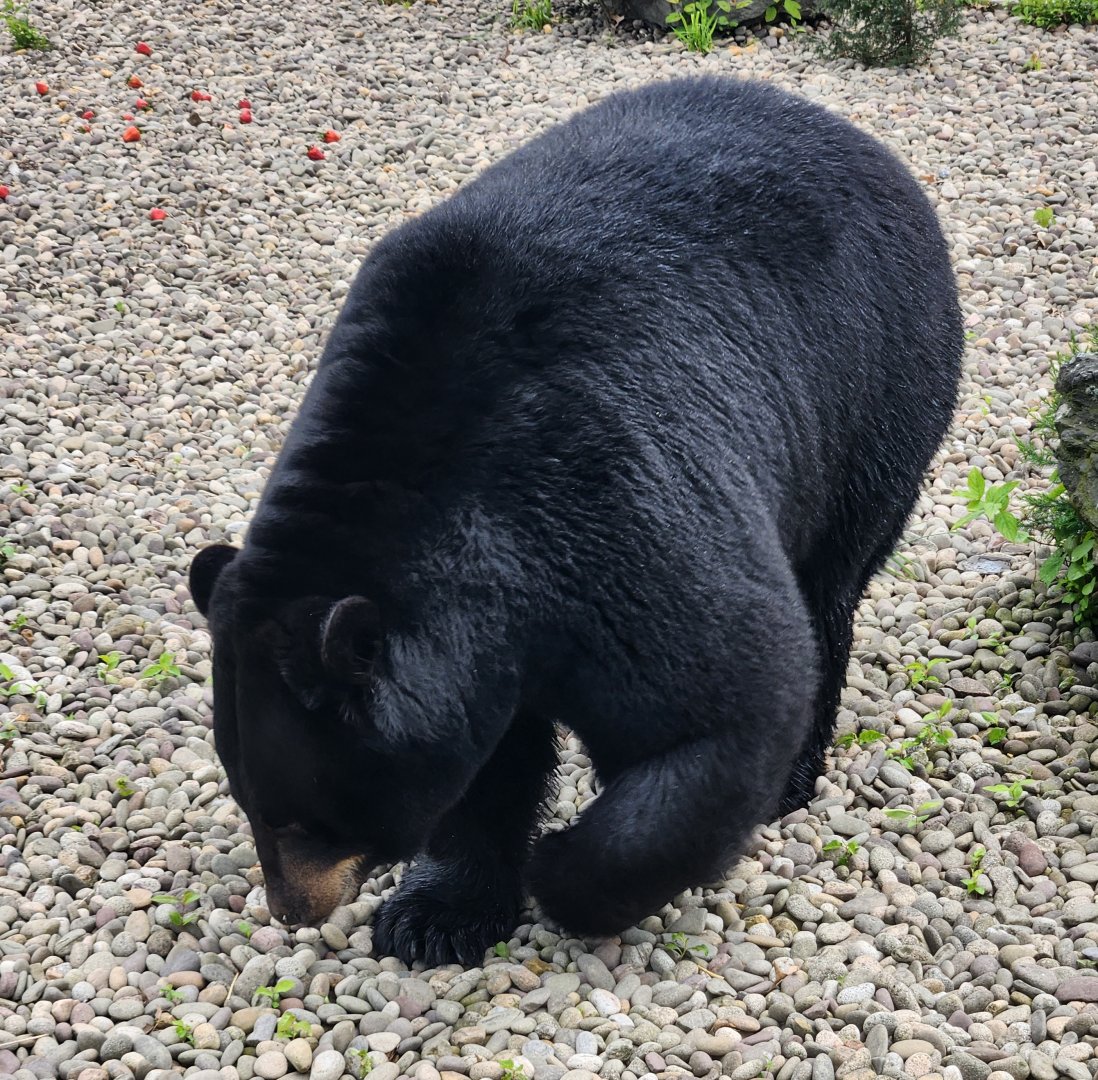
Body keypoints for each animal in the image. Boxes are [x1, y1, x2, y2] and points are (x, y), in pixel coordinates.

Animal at [189, 75, 962, 967]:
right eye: (246, 798)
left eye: (305, 816)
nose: (290, 909)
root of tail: (856, 137)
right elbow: (482, 763)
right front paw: (434, 915)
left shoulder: (609, 503)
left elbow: (730, 698)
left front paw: (563, 870)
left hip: (876, 395)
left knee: (828, 589)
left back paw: (795, 774)